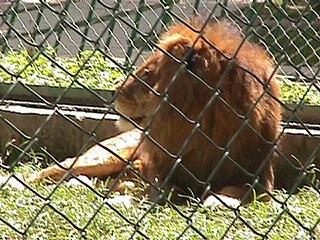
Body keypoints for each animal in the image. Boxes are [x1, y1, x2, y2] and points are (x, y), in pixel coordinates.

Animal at [114, 18, 280, 203]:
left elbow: (238, 191)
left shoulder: (261, 180)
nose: (114, 91)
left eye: (146, 73)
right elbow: (158, 184)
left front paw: (215, 201)